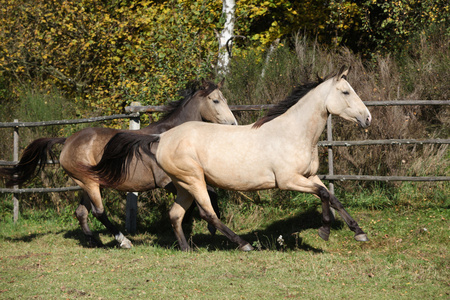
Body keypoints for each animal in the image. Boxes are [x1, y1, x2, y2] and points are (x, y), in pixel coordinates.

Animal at [0, 78, 237, 247]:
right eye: (216, 100)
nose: (234, 124)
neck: (171, 134)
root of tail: (68, 140)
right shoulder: (168, 182)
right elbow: (207, 196)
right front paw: (210, 227)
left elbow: (209, 195)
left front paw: (209, 228)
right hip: (90, 183)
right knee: (99, 212)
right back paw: (123, 241)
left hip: (87, 183)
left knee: (81, 212)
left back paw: (94, 241)